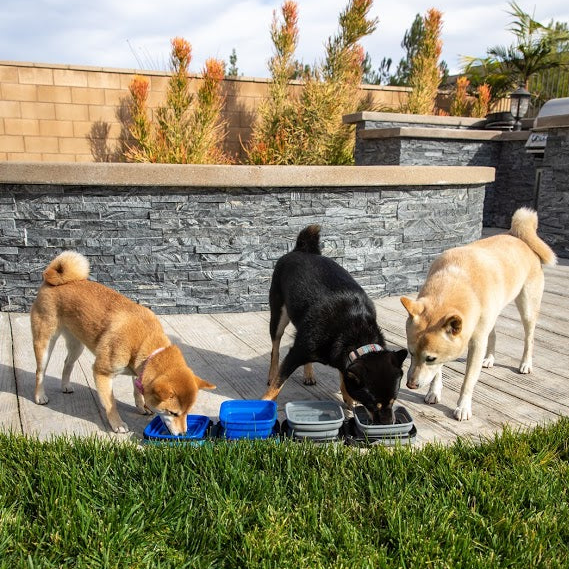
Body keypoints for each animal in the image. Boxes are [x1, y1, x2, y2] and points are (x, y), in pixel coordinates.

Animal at [30, 251, 215, 432]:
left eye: (188, 412)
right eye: (173, 413)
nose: (183, 433)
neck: (145, 341)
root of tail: (51, 280)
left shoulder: (139, 370)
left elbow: (137, 392)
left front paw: (141, 407)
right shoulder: (102, 373)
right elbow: (111, 404)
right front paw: (117, 424)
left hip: (77, 345)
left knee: (67, 363)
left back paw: (65, 385)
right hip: (45, 343)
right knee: (40, 372)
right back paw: (40, 396)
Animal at [264, 224, 406, 424]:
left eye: (394, 400)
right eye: (373, 404)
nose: (388, 424)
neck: (355, 327)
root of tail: (301, 250)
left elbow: (343, 372)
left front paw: (347, 396)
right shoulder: (296, 353)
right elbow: (277, 384)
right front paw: (264, 403)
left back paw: (309, 374)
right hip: (278, 315)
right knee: (275, 348)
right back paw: (272, 373)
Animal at [400, 206, 556, 420]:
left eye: (430, 358)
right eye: (410, 352)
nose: (410, 385)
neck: (456, 281)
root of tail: (517, 236)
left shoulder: (475, 343)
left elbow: (468, 381)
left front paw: (463, 407)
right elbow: (438, 372)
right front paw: (434, 392)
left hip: (527, 308)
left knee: (529, 338)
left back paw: (525, 364)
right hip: (493, 315)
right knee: (494, 333)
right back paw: (489, 358)